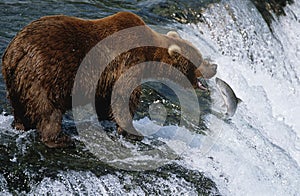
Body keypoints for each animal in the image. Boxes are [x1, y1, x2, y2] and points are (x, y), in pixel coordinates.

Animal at [0, 11, 216, 148]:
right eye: (199, 60)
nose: (214, 66)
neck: (149, 52)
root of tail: (16, 50)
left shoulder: (107, 78)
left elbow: (107, 100)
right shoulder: (128, 61)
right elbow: (124, 96)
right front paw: (133, 131)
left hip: (15, 79)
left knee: (20, 105)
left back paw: (20, 125)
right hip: (45, 74)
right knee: (48, 110)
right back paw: (60, 140)